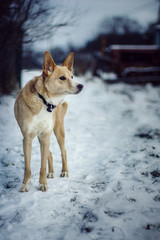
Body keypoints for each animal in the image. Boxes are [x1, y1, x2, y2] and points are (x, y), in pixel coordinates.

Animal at [14, 51, 83, 192]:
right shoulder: (28, 138)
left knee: (63, 151)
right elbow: (27, 167)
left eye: (72, 76)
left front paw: (43, 184)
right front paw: (25, 185)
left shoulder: (45, 136)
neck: (44, 100)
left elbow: (42, 166)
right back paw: (51, 172)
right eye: (62, 78)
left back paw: (64, 171)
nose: (81, 86)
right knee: (50, 154)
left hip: (58, 131)